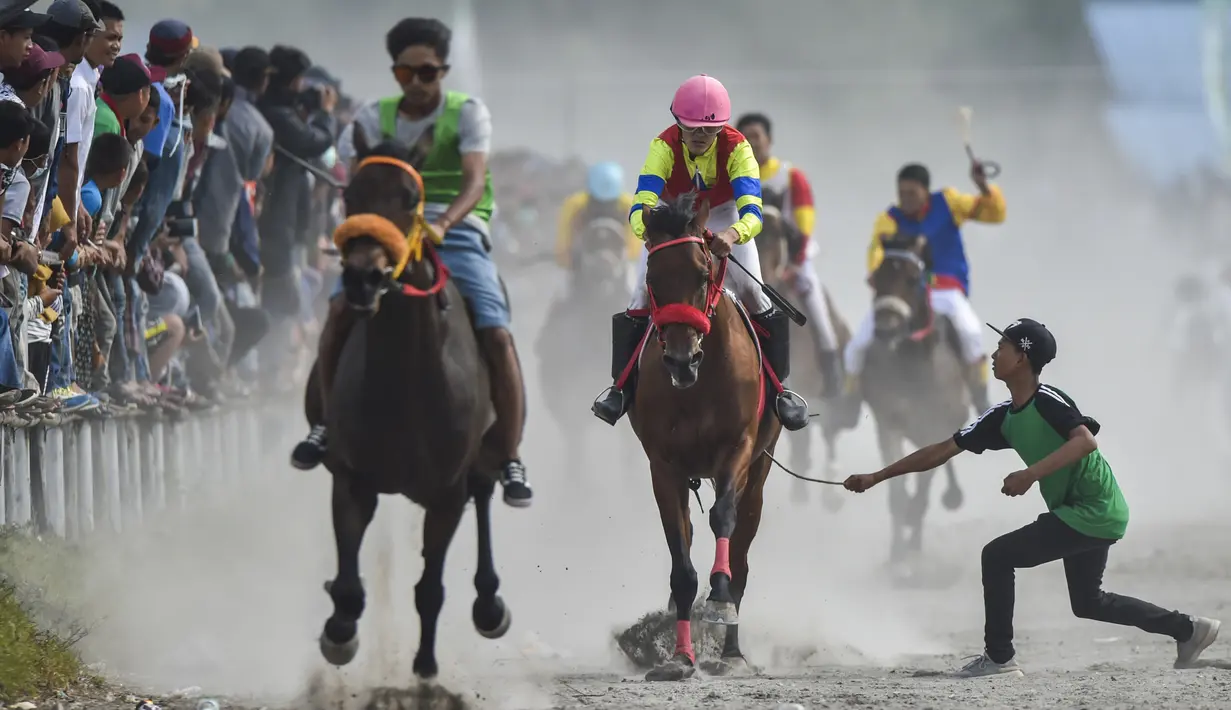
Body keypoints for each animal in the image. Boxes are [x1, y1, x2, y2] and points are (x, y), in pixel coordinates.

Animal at [305, 137, 512, 674]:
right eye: (350, 194)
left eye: (409, 197)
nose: (363, 277)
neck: (405, 383)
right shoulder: (352, 479)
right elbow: (350, 586)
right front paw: (339, 632)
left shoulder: (446, 494)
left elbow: (430, 588)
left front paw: (425, 667)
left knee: (485, 490)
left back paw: (489, 604)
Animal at [630, 190, 782, 679]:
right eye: (653, 277)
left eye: (701, 274)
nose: (681, 360)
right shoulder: (663, 466)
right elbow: (681, 562)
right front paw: (679, 657)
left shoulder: (738, 450)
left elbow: (723, 522)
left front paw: (718, 600)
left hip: (760, 469)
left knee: (741, 552)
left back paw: (731, 651)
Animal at [856, 235, 960, 578]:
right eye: (876, 278)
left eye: (913, 278)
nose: (886, 329)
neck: (913, 369)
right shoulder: (888, 423)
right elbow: (897, 493)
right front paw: (897, 556)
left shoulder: (935, 430)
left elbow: (921, 494)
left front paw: (910, 547)